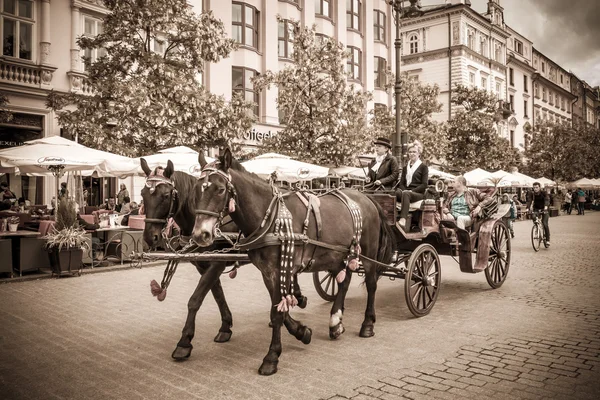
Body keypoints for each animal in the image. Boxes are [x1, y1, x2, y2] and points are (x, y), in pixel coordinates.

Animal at [192, 149, 396, 376]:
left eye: (220, 190)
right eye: (196, 190)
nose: (201, 234)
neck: (270, 216)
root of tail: (366, 197)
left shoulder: (284, 268)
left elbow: (277, 313)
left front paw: (272, 357)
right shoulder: (268, 272)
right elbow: (279, 308)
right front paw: (302, 331)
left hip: (368, 253)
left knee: (371, 285)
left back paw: (367, 324)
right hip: (339, 254)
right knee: (344, 280)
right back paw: (335, 321)